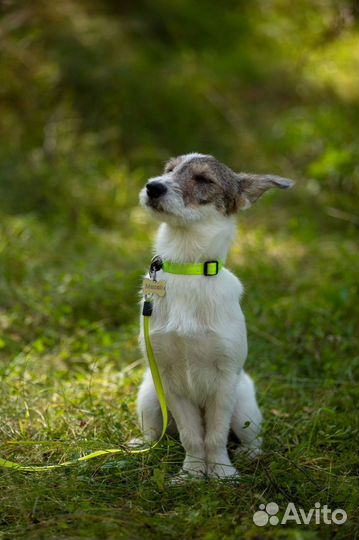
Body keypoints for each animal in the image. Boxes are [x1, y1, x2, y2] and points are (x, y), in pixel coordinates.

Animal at [136, 152, 294, 476]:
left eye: (203, 179)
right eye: (168, 170)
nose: (153, 187)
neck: (189, 269)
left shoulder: (224, 380)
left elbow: (215, 435)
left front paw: (222, 474)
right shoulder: (169, 379)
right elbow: (192, 435)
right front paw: (193, 473)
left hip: (244, 404)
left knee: (251, 436)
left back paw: (250, 454)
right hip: (148, 397)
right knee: (156, 434)